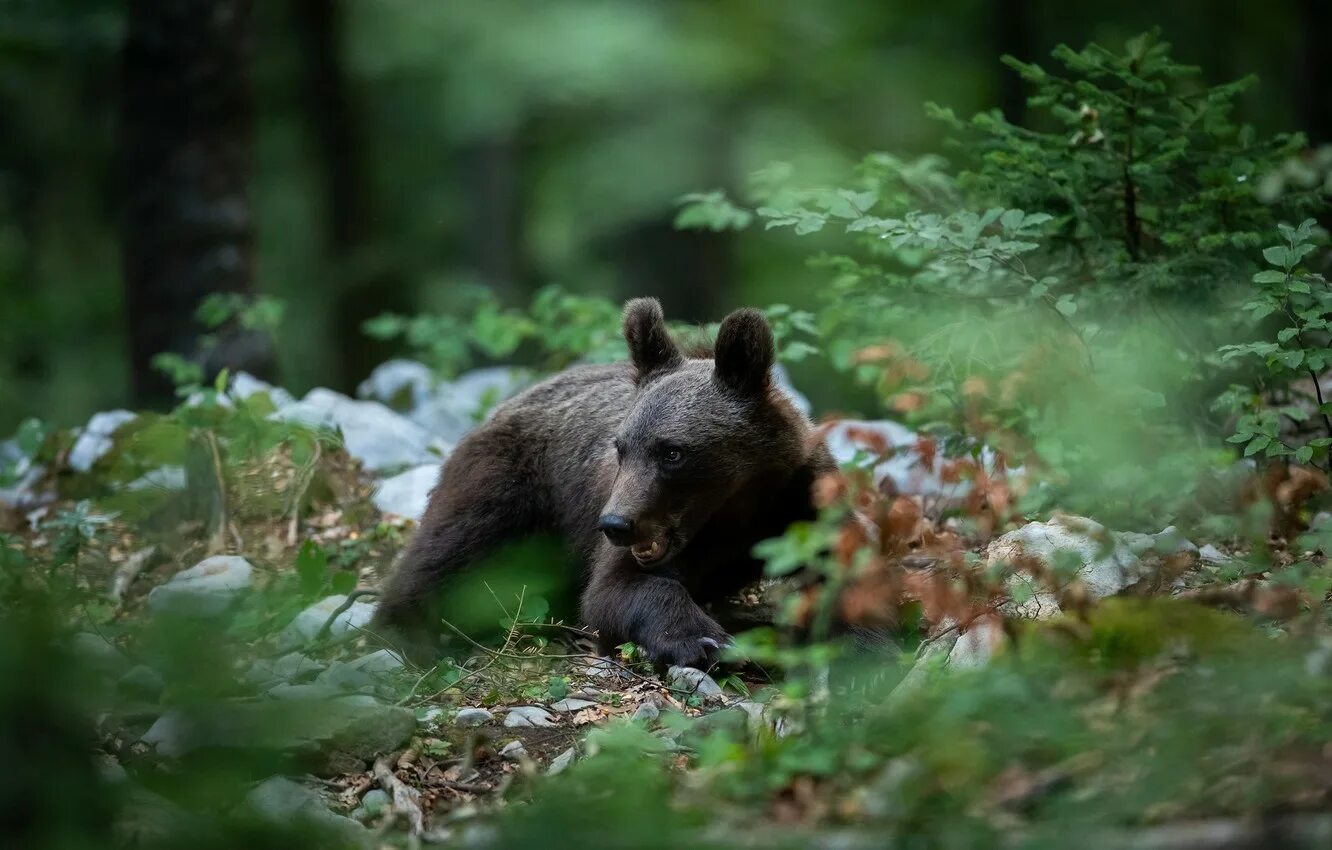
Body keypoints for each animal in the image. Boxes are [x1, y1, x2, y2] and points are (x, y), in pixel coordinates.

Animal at [372, 295, 831, 668]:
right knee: (449, 547)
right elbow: (613, 590)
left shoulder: (799, 499)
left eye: (672, 452)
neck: (734, 508)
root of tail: (502, 409)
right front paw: (700, 639)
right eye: (620, 447)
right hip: (510, 483)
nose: (615, 524)